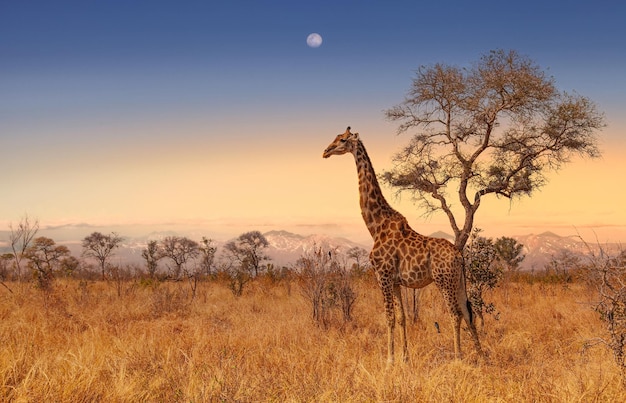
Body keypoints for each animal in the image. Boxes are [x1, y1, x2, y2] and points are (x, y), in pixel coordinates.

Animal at [322, 127, 482, 366]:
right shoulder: (396, 281)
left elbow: (388, 318)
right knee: (468, 311)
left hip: (444, 280)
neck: (376, 225)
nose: (325, 151)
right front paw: (404, 358)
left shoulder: (383, 275)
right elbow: (402, 317)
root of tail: (459, 255)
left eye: (342, 140)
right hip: (459, 281)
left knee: (455, 314)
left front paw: (389, 360)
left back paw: (458, 358)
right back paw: (483, 355)